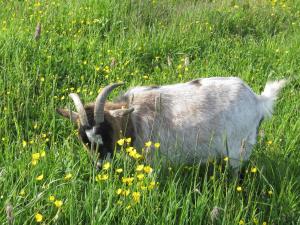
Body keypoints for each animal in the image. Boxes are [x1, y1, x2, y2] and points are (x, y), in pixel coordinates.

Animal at [56, 76, 286, 170]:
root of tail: (258, 101)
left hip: (239, 149)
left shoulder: (154, 161)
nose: (100, 166)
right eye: (84, 140)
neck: (134, 117)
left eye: (108, 131)